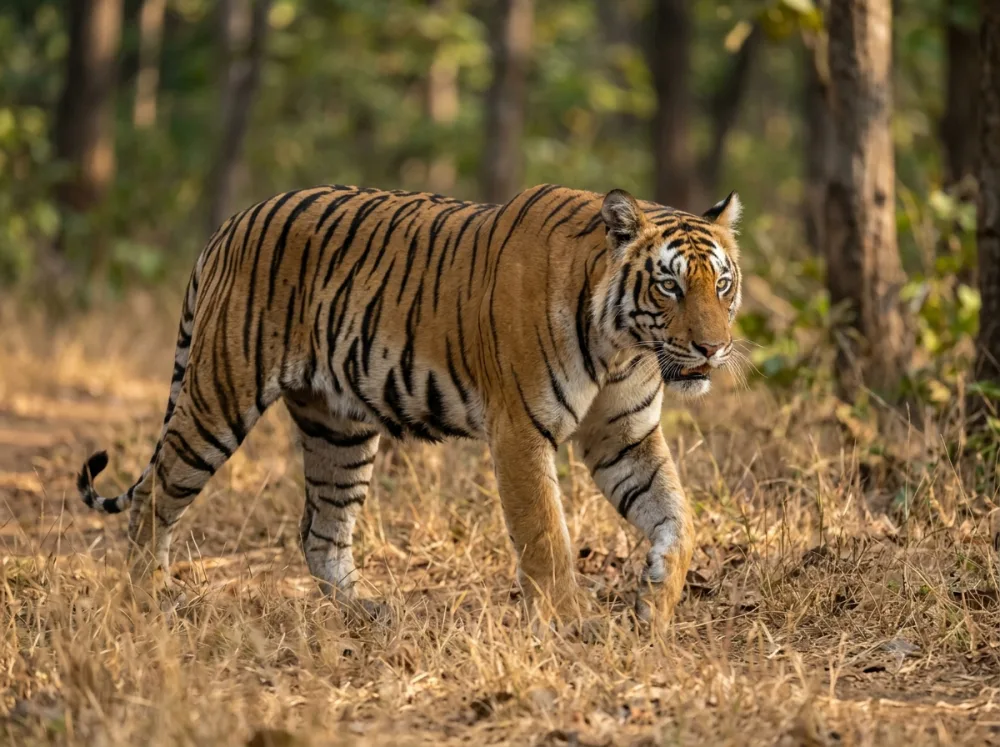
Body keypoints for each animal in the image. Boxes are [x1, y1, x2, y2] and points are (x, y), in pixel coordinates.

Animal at [77, 183, 743, 625]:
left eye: (722, 284)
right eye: (669, 285)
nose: (713, 348)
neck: (622, 347)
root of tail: (232, 222)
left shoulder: (623, 435)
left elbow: (677, 516)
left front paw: (656, 602)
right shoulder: (520, 430)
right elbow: (545, 534)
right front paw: (572, 621)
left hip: (339, 430)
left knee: (320, 532)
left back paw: (370, 612)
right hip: (219, 398)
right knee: (154, 495)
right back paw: (149, 601)